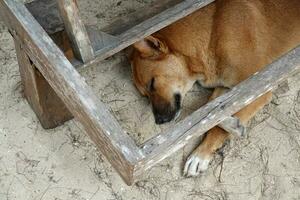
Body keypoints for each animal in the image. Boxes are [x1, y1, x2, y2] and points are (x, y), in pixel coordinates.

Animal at [129, 0, 300, 177]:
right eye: (145, 95)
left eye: (152, 83)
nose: (159, 121)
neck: (211, 35)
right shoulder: (226, 88)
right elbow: (210, 111)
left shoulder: (257, 87)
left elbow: (214, 117)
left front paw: (201, 154)